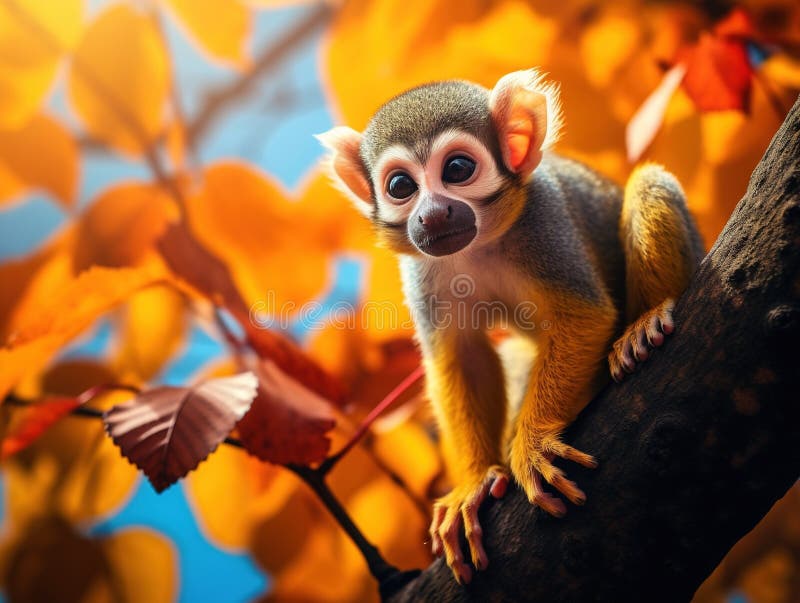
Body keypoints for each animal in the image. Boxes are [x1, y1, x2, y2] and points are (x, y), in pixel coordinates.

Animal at [317, 69, 704, 585]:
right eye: (400, 185)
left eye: (457, 169)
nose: (433, 214)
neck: (480, 241)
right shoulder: (421, 270)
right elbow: (462, 356)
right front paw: (475, 482)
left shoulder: (542, 217)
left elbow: (582, 313)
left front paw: (534, 441)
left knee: (648, 183)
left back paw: (644, 324)